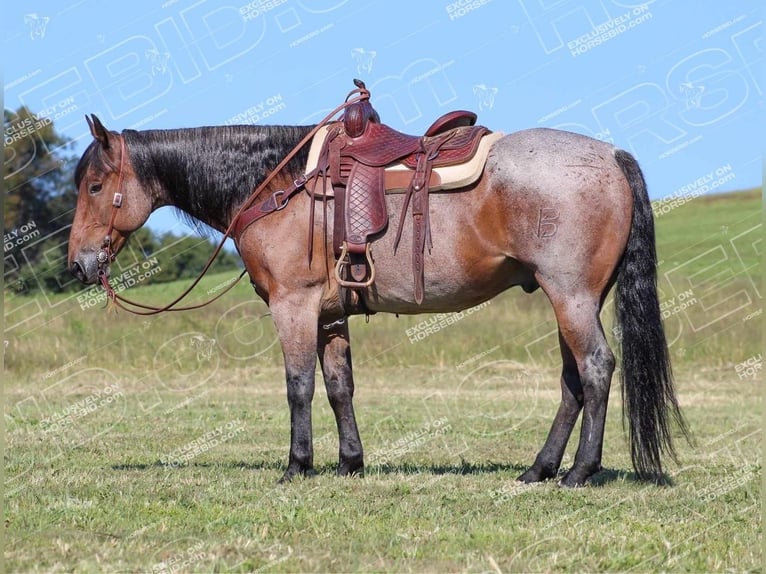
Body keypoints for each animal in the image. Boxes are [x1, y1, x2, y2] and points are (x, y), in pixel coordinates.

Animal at [66, 92, 688, 488]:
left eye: (95, 185)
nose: (78, 264)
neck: (279, 184)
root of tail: (610, 154)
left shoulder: (294, 305)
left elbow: (298, 386)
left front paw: (297, 465)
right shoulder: (329, 313)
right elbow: (339, 386)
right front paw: (349, 462)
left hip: (572, 296)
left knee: (596, 370)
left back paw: (579, 473)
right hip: (573, 299)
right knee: (572, 383)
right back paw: (538, 469)